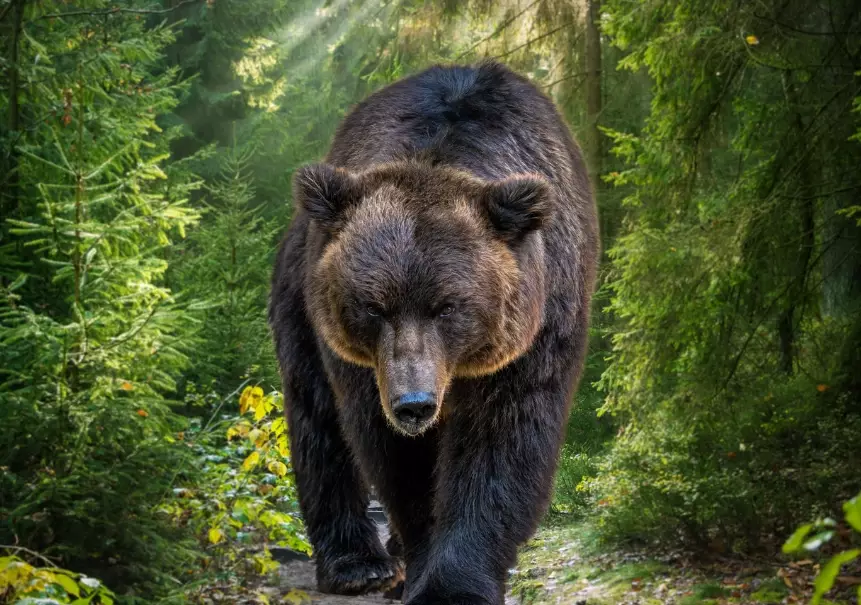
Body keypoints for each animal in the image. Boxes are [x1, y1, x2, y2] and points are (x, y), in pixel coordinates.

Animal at [269, 60, 599, 605]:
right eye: (373, 306)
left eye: (448, 306)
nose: (415, 403)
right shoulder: (366, 363)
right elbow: (395, 455)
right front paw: (422, 565)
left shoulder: (536, 327)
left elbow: (501, 441)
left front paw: (454, 583)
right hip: (300, 298)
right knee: (318, 418)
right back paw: (359, 564)